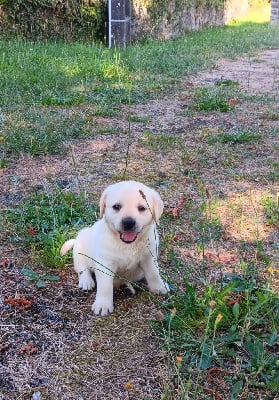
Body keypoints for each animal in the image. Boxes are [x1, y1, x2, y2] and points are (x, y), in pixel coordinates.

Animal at [60, 180, 170, 316]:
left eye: (142, 208)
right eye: (116, 207)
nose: (128, 222)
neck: (127, 244)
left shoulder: (149, 257)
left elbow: (153, 273)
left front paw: (159, 287)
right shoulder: (105, 263)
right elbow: (105, 286)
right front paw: (103, 305)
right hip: (80, 247)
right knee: (82, 268)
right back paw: (86, 281)